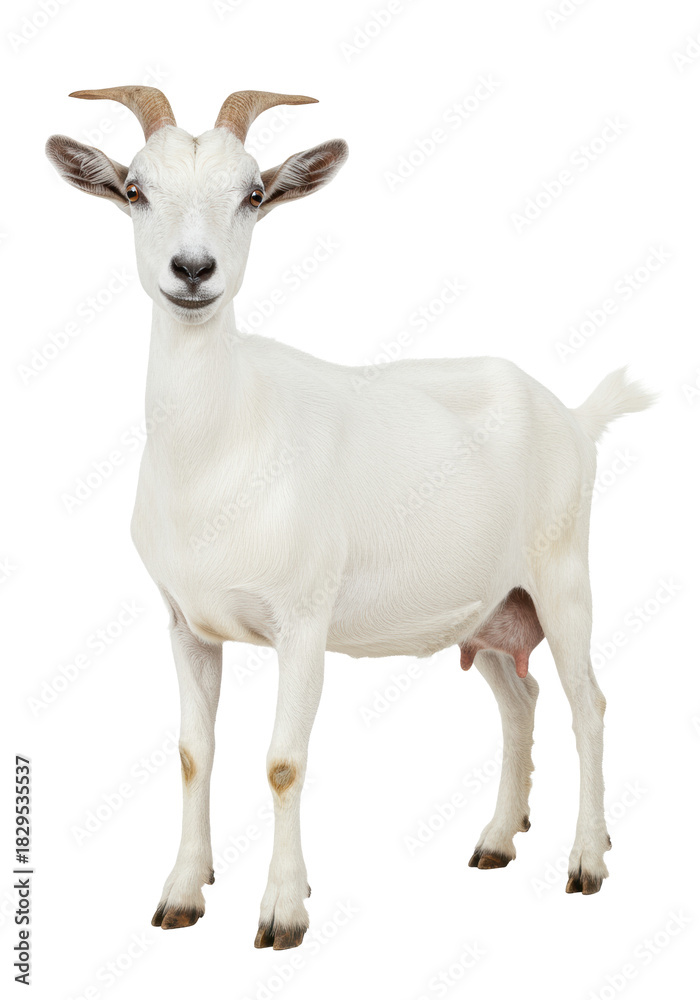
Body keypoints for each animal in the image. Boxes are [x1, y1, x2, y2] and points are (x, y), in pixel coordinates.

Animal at [47, 85, 654, 951]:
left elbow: (283, 761)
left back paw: (588, 860)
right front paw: (182, 894)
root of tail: (573, 414)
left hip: (564, 579)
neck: (222, 446)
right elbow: (193, 752)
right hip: (493, 607)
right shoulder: (184, 626)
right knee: (521, 700)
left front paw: (283, 911)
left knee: (589, 704)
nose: (192, 271)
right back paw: (499, 838)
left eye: (252, 194)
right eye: (135, 189)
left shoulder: (303, 620)